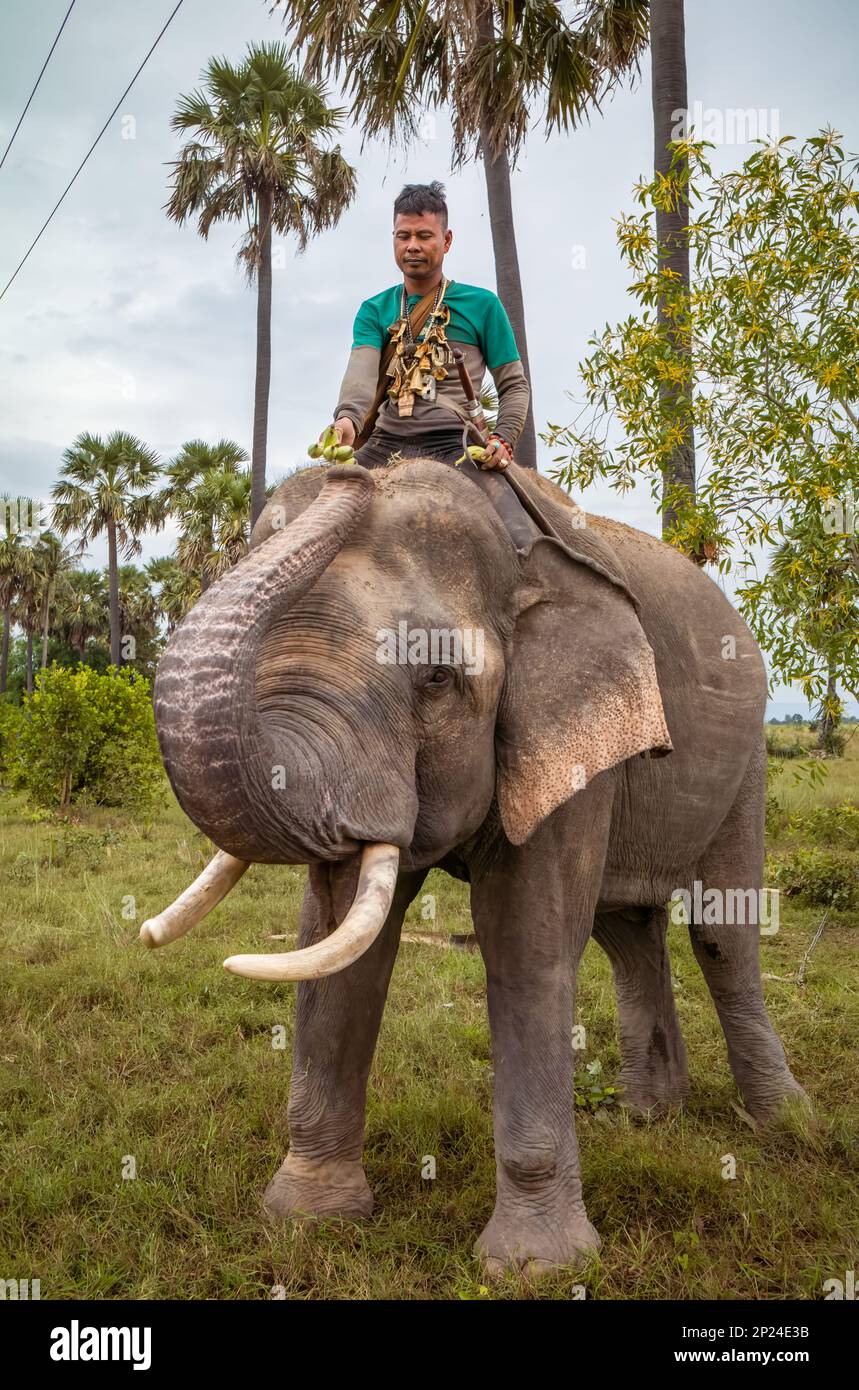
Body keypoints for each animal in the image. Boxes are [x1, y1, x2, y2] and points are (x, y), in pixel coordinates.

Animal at [140, 455, 800, 1273]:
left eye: (434, 680)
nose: (350, 469)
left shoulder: (570, 731)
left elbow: (525, 944)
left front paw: (535, 1267)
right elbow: (335, 940)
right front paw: (306, 1219)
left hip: (748, 759)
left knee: (720, 934)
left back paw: (782, 1122)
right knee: (627, 930)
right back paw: (650, 1118)